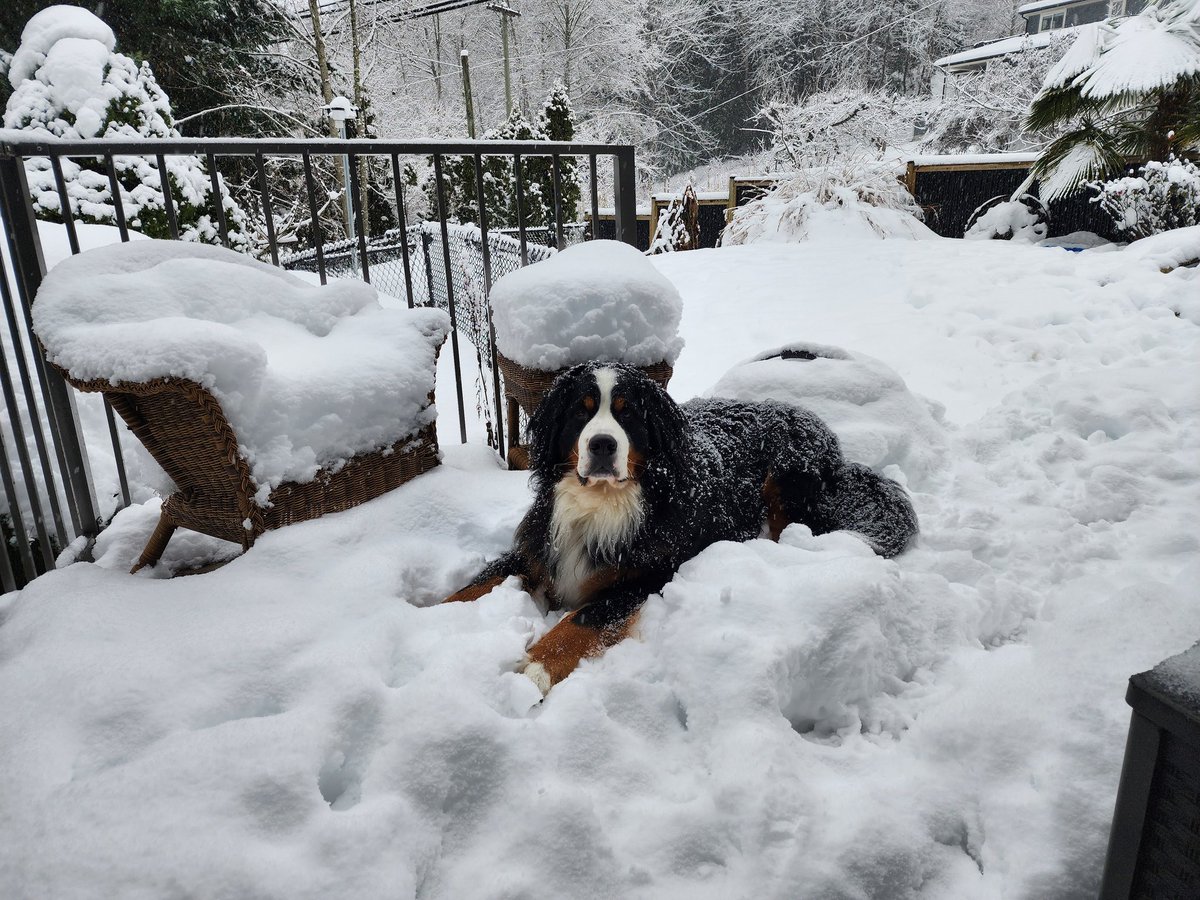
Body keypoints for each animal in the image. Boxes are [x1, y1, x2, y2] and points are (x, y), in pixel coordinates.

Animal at [444, 362, 916, 696]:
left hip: (787, 482)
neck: (602, 505)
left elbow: (584, 619)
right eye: (580, 412)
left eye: (628, 414)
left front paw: (532, 672)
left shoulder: (648, 574)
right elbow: (473, 585)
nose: (602, 445)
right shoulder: (539, 547)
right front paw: (433, 615)